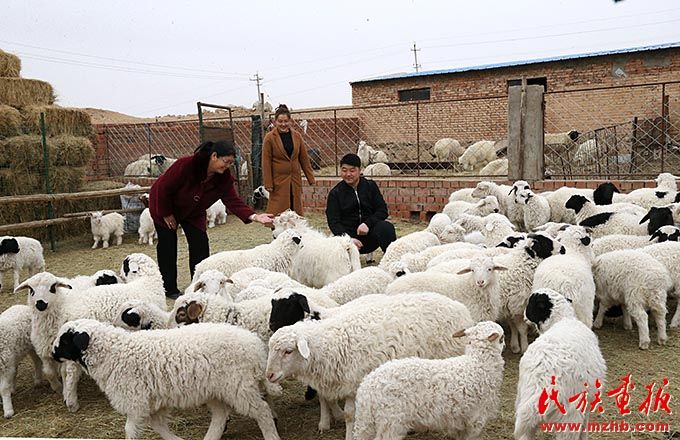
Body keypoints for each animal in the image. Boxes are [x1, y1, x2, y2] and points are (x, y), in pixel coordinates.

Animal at [52, 319, 281, 440]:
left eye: (65, 340)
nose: (52, 353)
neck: (114, 353)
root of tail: (255, 347)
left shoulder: (136, 401)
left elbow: (130, 430)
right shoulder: (153, 402)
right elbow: (158, 426)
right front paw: (176, 439)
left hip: (238, 386)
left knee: (262, 411)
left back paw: (271, 436)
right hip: (216, 390)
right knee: (220, 414)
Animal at [265, 292, 474, 439]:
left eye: (288, 351)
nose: (269, 375)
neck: (335, 343)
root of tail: (460, 307)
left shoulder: (356, 385)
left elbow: (351, 415)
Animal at [353, 321, 505, 440]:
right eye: (502, 338)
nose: (505, 342)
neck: (478, 363)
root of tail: (366, 389)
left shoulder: (460, 420)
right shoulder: (477, 417)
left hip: (366, 422)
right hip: (390, 420)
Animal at [515, 288, 606, 440]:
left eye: (530, 303)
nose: (523, 315)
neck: (563, 319)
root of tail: (543, 378)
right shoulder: (587, 402)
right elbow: (585, 427)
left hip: (524, 401)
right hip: (570, 416)